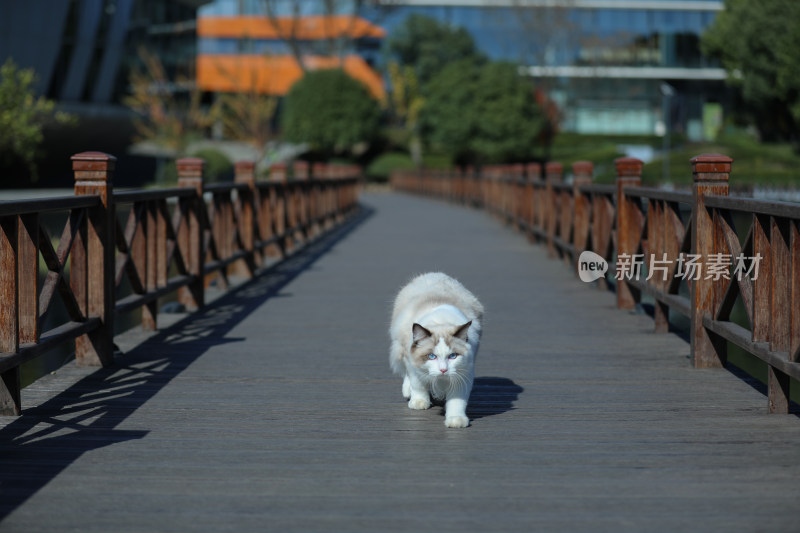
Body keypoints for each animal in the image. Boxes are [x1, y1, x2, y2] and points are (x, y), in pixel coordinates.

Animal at [390, 272, 484, 426]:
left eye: (453, 356)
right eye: (432, 356)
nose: (443, 370)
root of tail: (434, 274)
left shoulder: (462, 374)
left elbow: (457, 401)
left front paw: (456, 420)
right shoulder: (413, 365)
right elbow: (418, 385)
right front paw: (419, 402)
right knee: (407, 376)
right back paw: (408, 392)